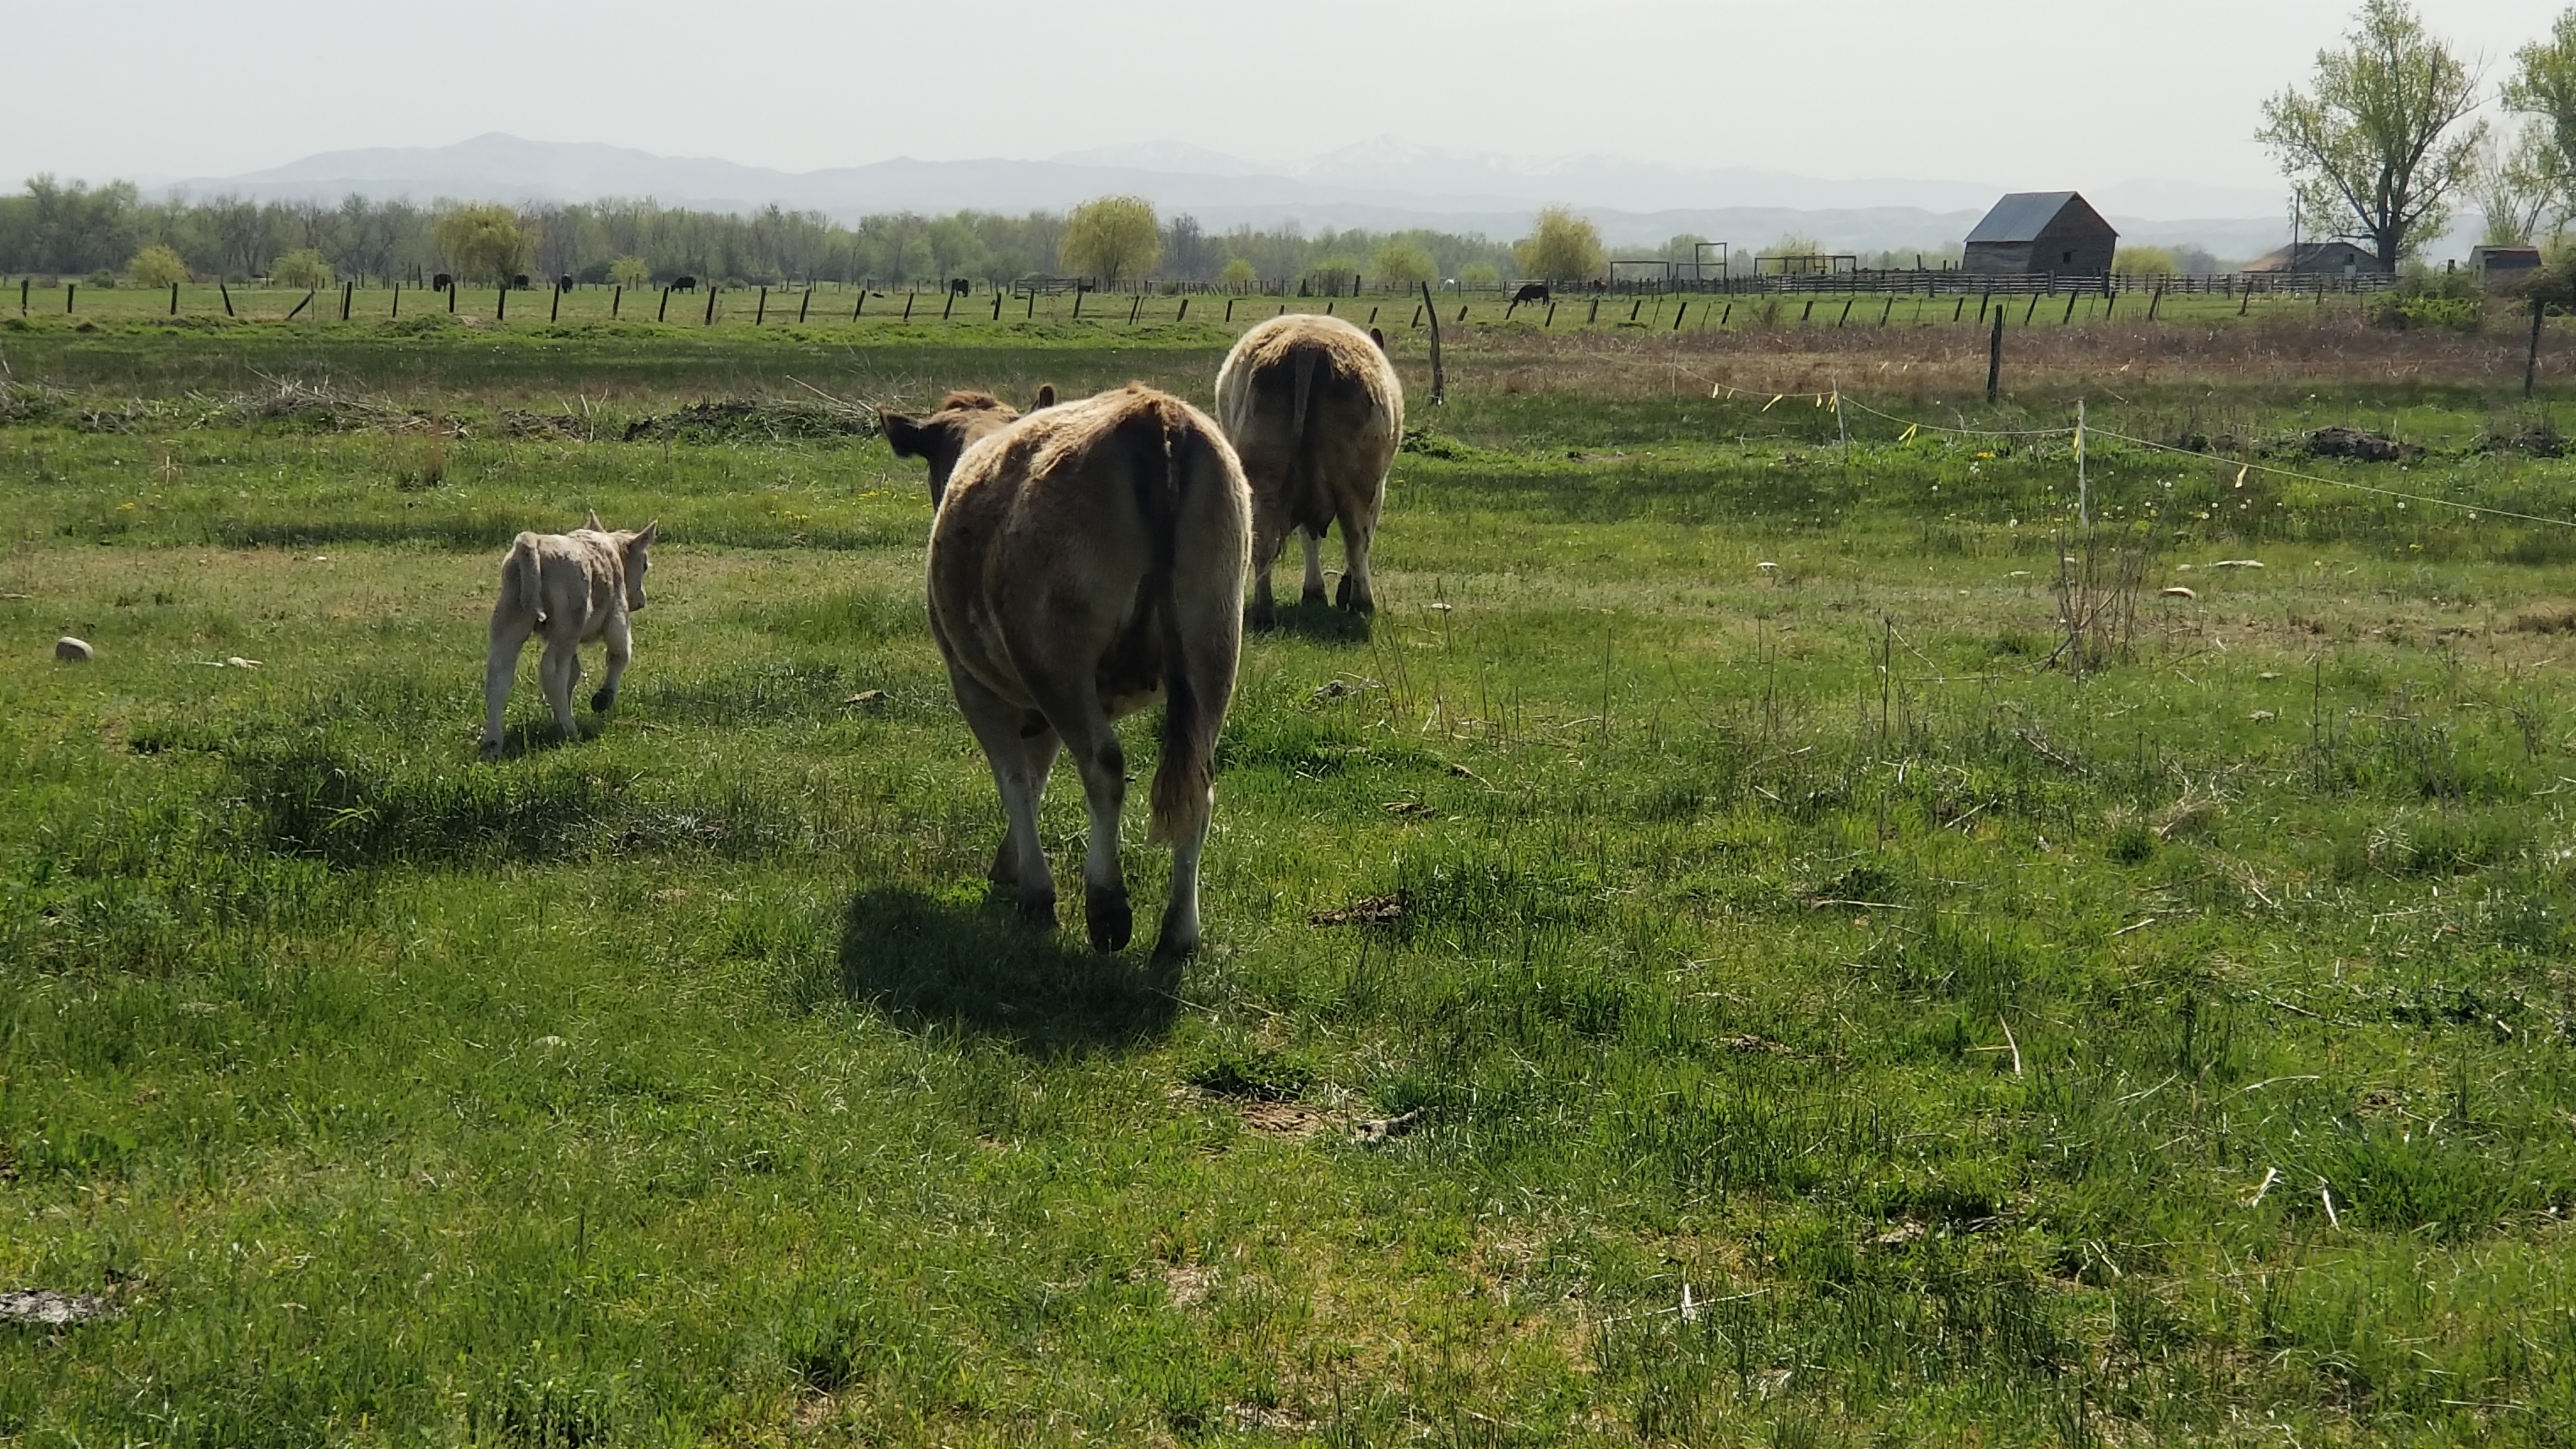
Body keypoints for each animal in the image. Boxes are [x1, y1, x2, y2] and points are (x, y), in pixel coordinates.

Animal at [480, 511, 659, 760]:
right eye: (644, 566)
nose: (642, 600)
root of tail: (533, 540)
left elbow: (574, 673)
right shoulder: (617, 615)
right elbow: (620, 654)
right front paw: (603, 699)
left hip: (511, 620)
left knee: (499, 674)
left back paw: (493, 744)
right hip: (568, 625)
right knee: (552, 671)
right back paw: (569, 730)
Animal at [879, 384, 1249, 959]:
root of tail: (1153, 413)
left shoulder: (975, 684)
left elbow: (1015, 778)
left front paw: (1033, 888)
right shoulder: (1037, 703)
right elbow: (1036, 775)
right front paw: (1010, 863)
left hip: (1058, 656)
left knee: (1103, 766)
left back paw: (1106, 906)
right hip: (1212, 643)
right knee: (1198, 786)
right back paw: (1179, 932)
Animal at [1213, 313, 1403, 629]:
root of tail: (1307, 347)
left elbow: (1308, 536)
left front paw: (1314, 592)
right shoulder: (1379, 487)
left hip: (1263, 479)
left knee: (1263, 541)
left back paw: (1264, 612)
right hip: (1358, 482)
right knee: (1356, 538)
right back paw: (1362, 602)